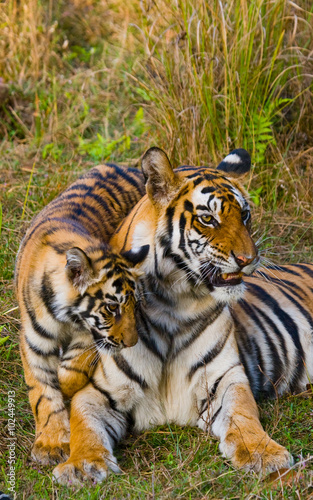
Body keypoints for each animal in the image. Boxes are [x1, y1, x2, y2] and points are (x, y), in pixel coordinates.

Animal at [15, 163, 149, 464]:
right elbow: (42, 392)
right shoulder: (33, 341)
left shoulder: (91, 336)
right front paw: (51, 444)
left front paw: (67, 387)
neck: (64, 317)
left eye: (135, 306)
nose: (132, 343)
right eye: (112, 307)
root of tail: (130, 166)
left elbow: (71, 372)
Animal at [52, 146, 310, 482]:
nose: (248, 259)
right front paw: (81, 466)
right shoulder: (97, 390)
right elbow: (83, 426)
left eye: (244, 215)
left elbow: (244, 414)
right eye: (207, 218)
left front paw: (263, 454)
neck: (175, 308)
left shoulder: (225, 378)